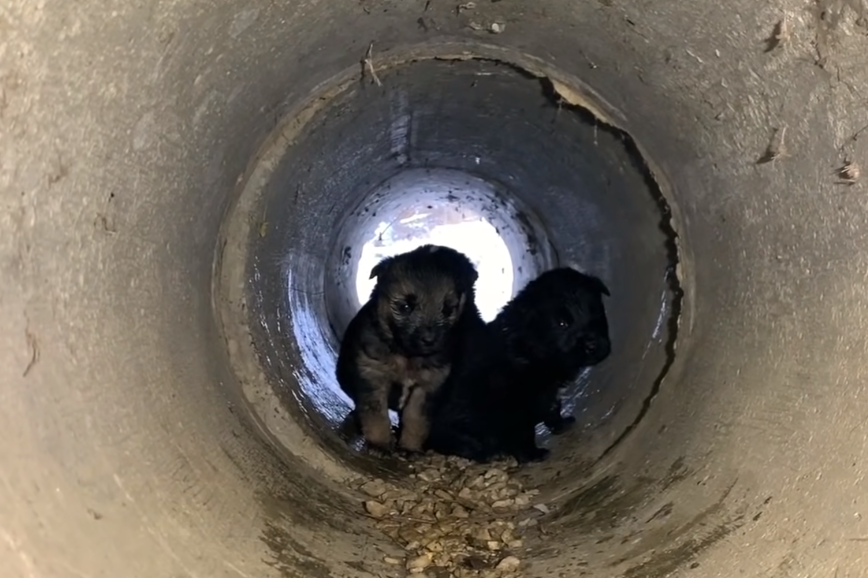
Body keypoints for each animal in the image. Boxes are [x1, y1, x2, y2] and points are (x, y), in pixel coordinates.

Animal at [336, 242, 484, 450]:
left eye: (448, 309)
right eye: (405, 307)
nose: (429, 340)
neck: (406, 355)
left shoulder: (427, 385)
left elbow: (416, 419)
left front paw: (409, 447)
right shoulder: (373, 375)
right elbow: (376, 415)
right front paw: (380, 445)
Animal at [424, 266, 612, 464]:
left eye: (596, 311)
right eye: (562, 323)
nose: (594, 346)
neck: (530, 349)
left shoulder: (548, 393)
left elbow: (553, 410)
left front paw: (561, 425)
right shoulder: (514, 404)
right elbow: (522, 434)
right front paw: (533, 455)